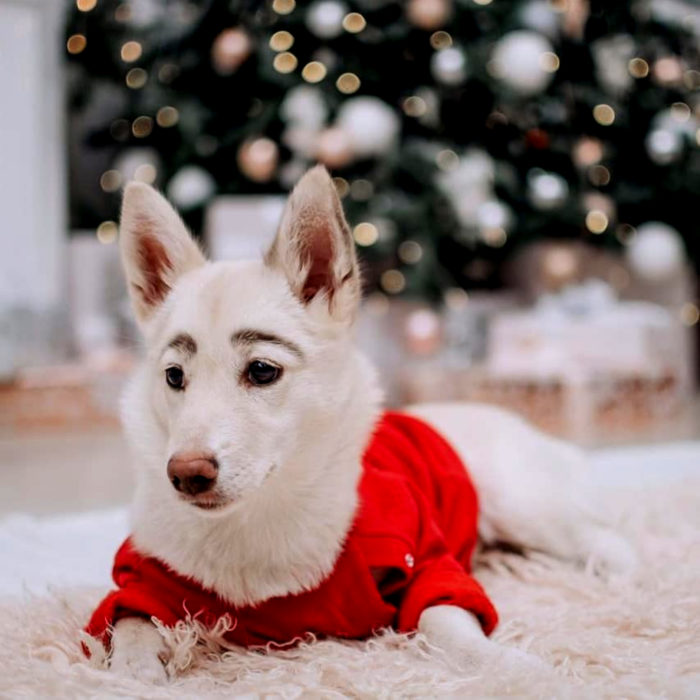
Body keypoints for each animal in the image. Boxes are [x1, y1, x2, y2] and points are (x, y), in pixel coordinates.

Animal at [91, 164, 636, 680]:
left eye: (262, 370)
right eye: (174, 376)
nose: (186, 474)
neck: (261, 515)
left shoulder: (428, 564)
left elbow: (445, 622)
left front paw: (513, 669)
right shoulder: (140, 577)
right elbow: (128, 620)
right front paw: (132, 673)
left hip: (520, 501)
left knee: (601, 539)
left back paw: (626, 578)